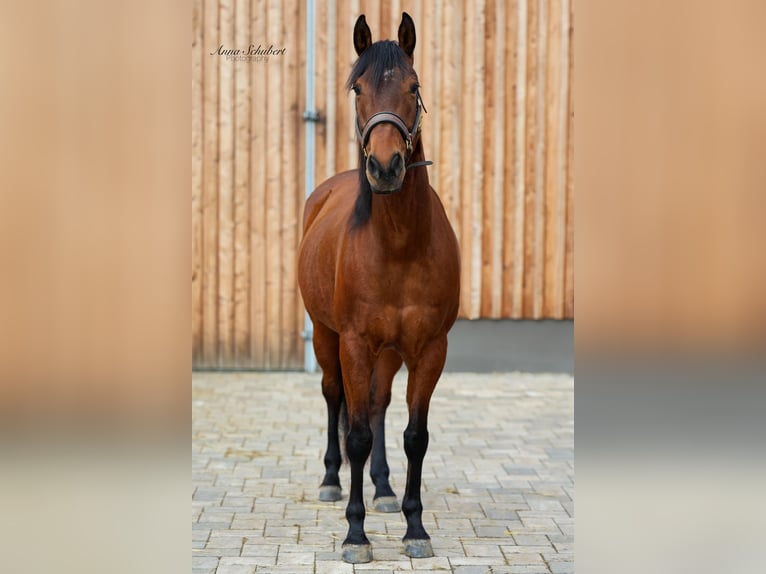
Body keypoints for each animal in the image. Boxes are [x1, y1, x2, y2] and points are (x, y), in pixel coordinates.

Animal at [297, 12, 461, 564]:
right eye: (357, 87)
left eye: (414, 87)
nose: (386, 167)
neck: (400, 246)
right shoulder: (352, 343)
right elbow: (357, 435)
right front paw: (355, 534)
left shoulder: (430, 348)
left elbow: (415, 435)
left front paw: (414, 527)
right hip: (326, 337)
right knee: (334, 398)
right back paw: (330, 481)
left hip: (389, 351)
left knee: (379, 402)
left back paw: (385, 489)